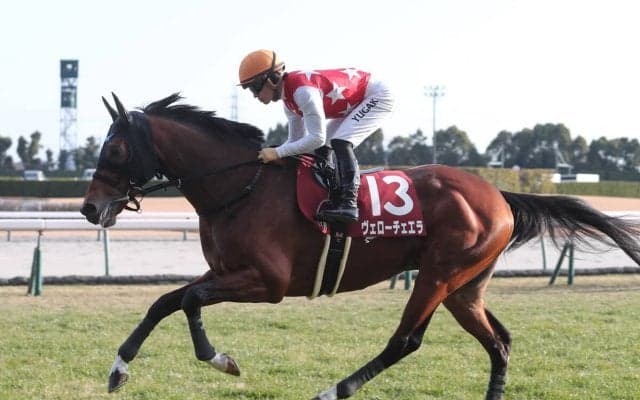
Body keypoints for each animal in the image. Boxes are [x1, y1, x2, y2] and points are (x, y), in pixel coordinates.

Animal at [81, 93, 640, 400]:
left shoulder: (268, 282)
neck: (239, 187)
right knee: (499, 342)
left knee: (405, 341)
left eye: (117, 148)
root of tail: (498, 193)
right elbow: (165, 301)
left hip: (439, 274)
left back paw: (333, 390)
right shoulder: (225, 271)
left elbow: (190, 301)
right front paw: (118, 369)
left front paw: (221, 360)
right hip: (465, 286)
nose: (89, 207)